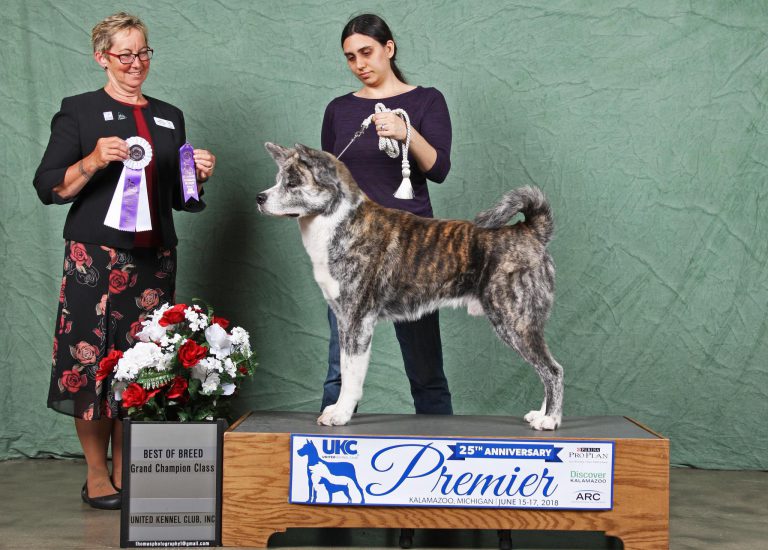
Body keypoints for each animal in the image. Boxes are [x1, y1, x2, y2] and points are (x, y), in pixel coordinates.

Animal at [258, 142, 564, 432]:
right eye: (278, 179)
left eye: (293, 182)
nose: (259, 198)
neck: (339, 221)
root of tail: (529, 230)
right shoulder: (344, 321)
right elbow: (344, 368)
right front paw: (337, 409)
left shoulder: (357, 321)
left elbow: (352, 375)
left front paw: (340, 415)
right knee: (546, 368)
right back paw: (541, 414)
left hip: (514, 322)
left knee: (553, 370)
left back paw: (550, 421)